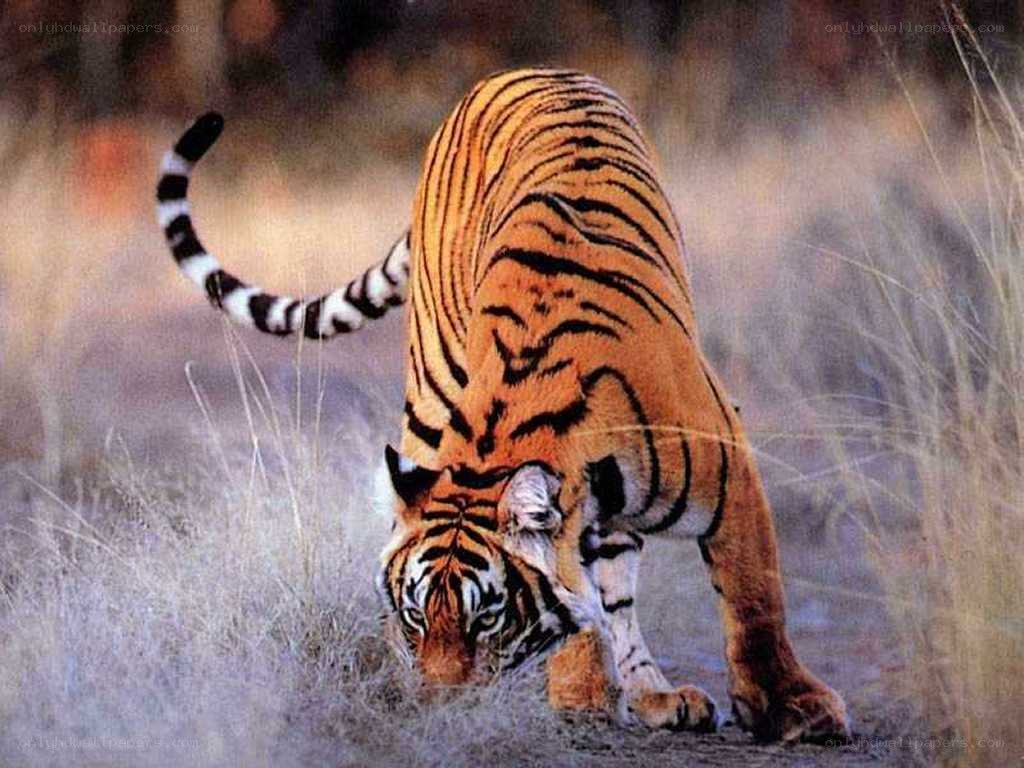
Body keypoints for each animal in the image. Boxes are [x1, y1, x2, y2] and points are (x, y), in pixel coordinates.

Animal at [156, 67, 850, 743]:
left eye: (487, 616)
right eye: (416, 615)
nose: (438, 706)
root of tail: (518, 72)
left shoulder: (728, 463)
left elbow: (753, 590)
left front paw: (793, 708)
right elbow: (589, 604)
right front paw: (582, 698)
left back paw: (651, 693)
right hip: (427, 400)